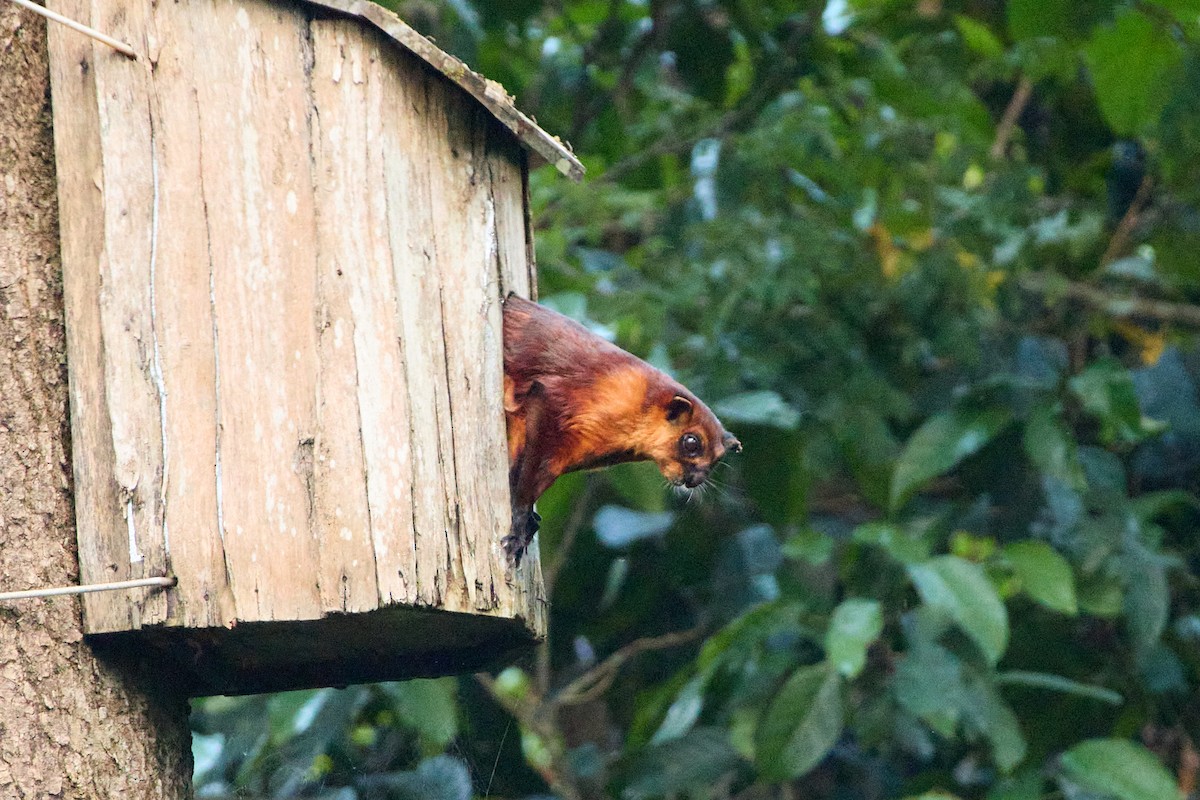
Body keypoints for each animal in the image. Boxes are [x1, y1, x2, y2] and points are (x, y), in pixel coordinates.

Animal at [502, 294, 741, 564]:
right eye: (692, 443)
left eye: (717, 460)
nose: (695, 479)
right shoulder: (550, 399)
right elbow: (525, 478)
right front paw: (518, 526)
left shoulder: (566, 454)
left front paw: (528, 524)